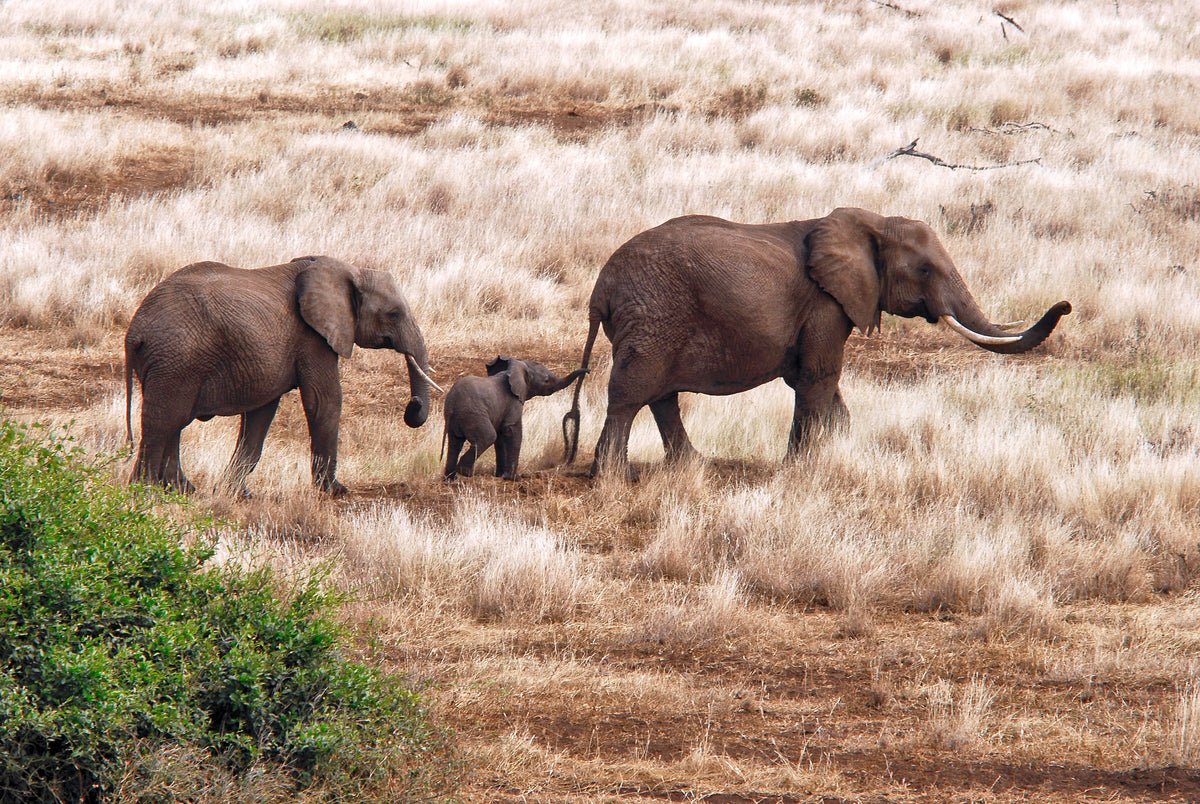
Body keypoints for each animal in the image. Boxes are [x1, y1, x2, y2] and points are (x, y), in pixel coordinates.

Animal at [124, 255, 441, 497]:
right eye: (394, 314)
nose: (412, 407)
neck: (349, 269)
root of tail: (134, 331)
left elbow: (261, 415)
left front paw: (238, 495)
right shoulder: (312, 337)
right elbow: (324, 401)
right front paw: (335, 491)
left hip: (173, 364)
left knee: (174, 422)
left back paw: (181, 491)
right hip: (176, 360)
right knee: (163, 421)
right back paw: (145, 492)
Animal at [443, 355, 586, 480]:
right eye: (546, 380)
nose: (588, 370)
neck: (517, 367)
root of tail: (451, 402)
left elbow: (500, 436)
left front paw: (500, 476)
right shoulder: (514, 402)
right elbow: (511, 431)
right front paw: (513, 478)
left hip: (458, 418)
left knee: (455, 443)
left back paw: (451, 478)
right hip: (472, 414)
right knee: (487, 437)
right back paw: (465, 473)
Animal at [562, 207, 1071, 477]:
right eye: (925, 270)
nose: (1064, 305)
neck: (872, 222)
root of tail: (600, 288)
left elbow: (820, 383)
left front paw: (837, 453)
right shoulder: (827, 303)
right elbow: (818, 376)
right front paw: (800, 468)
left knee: (661, 395)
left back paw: (694, 468)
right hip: (655, 313)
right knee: (632, 392)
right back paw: (609, 477)